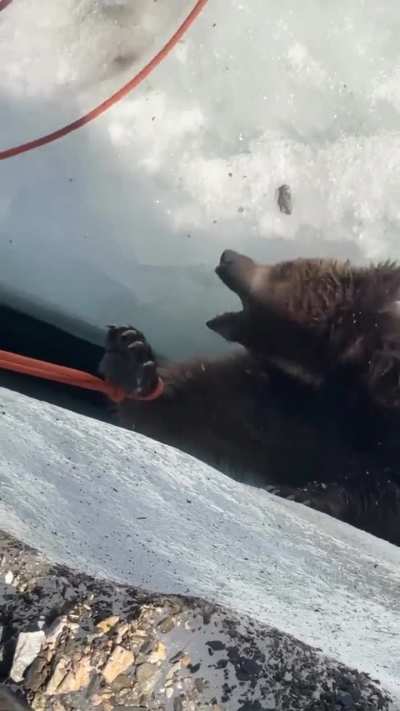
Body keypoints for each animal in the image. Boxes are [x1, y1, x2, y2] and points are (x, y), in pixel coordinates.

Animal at [99, 249, 400, 545]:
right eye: (289, 262)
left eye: (283, 267)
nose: (228, 256)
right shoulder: (277, 399)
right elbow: (192, 408)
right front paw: (131, 357)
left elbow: (380, 490)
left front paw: (304, 492)